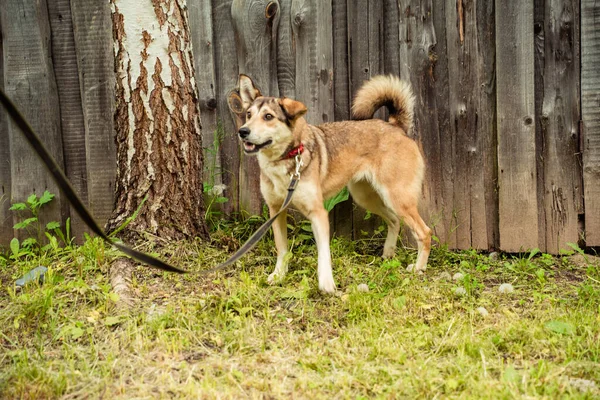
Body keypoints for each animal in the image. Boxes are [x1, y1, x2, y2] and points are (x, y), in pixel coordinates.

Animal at [226, 76, 432, 294]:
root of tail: (396, 126)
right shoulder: (276, 211)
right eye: (248, 115)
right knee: (394, 221)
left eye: (268, 116)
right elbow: (282, 249)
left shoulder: (318, 213)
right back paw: (388, 255)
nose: (242, 131)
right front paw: (279, 275)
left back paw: (419, 268)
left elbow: (323, 253)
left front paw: (326, 284)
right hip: (366, 197)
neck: (287, 157)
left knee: (424, 232)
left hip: (398, 199)